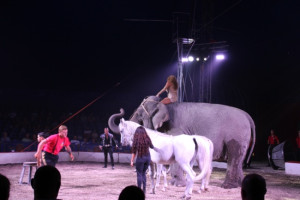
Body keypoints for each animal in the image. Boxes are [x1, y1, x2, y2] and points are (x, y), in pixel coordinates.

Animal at [109, 95, 256, 189]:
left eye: (140, 116)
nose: (120, 110)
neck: (165, 105)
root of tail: (248, 117)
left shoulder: (177, 128)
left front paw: (177, 185)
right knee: (238, 160)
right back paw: (238, 185)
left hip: (237, 136)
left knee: (234, 157)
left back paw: (227, 186)